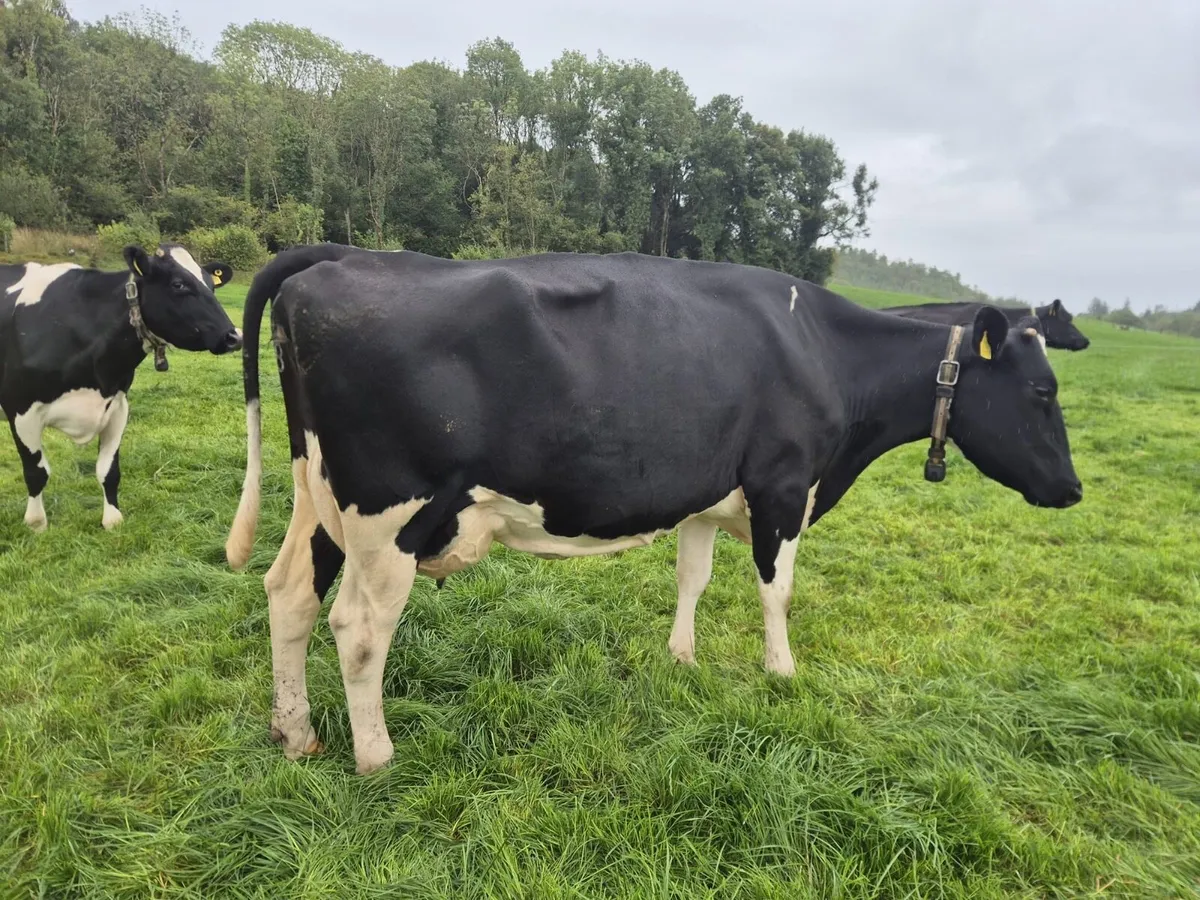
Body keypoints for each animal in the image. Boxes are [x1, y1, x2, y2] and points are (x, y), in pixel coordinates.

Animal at [2, 243, 241, 532]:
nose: (234, 336)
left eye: (210, 284)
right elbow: (36, 472)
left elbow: (108, 470)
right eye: (178, 284)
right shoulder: (19, 408)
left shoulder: (116, 405)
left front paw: (113, 519)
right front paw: (37, 524)